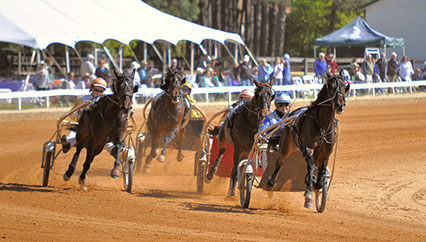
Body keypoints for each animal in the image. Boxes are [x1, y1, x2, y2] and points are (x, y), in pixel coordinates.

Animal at [266, 70, 350, 208]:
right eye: (331, 86)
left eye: (344, 86)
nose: (340, 105)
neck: (322, 125)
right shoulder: (307, 148)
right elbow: (311, 167)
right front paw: (308, 195)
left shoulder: (325, 152)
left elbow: (321, 170)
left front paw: (317, 184)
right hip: (286, 146)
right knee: (280, 161)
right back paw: (271, 182)